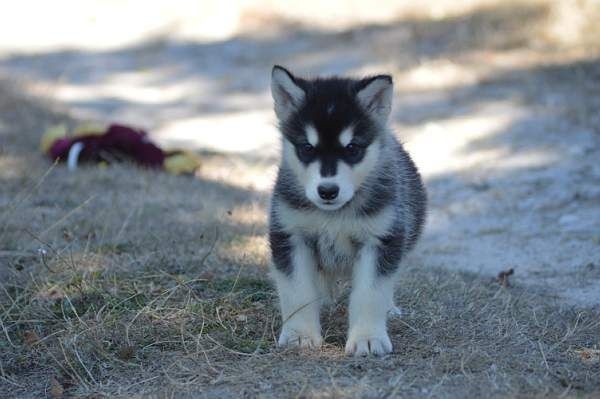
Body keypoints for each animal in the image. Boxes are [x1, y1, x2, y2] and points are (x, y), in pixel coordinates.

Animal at [268, 65, 426, 356]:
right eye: (307, 147)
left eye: (352, 148)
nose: (328, 191)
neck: (333, 215)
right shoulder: (290, 235)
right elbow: (298, 291)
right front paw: (299, 335)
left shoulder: (380, 239)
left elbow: (370, 293)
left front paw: (368, 338)